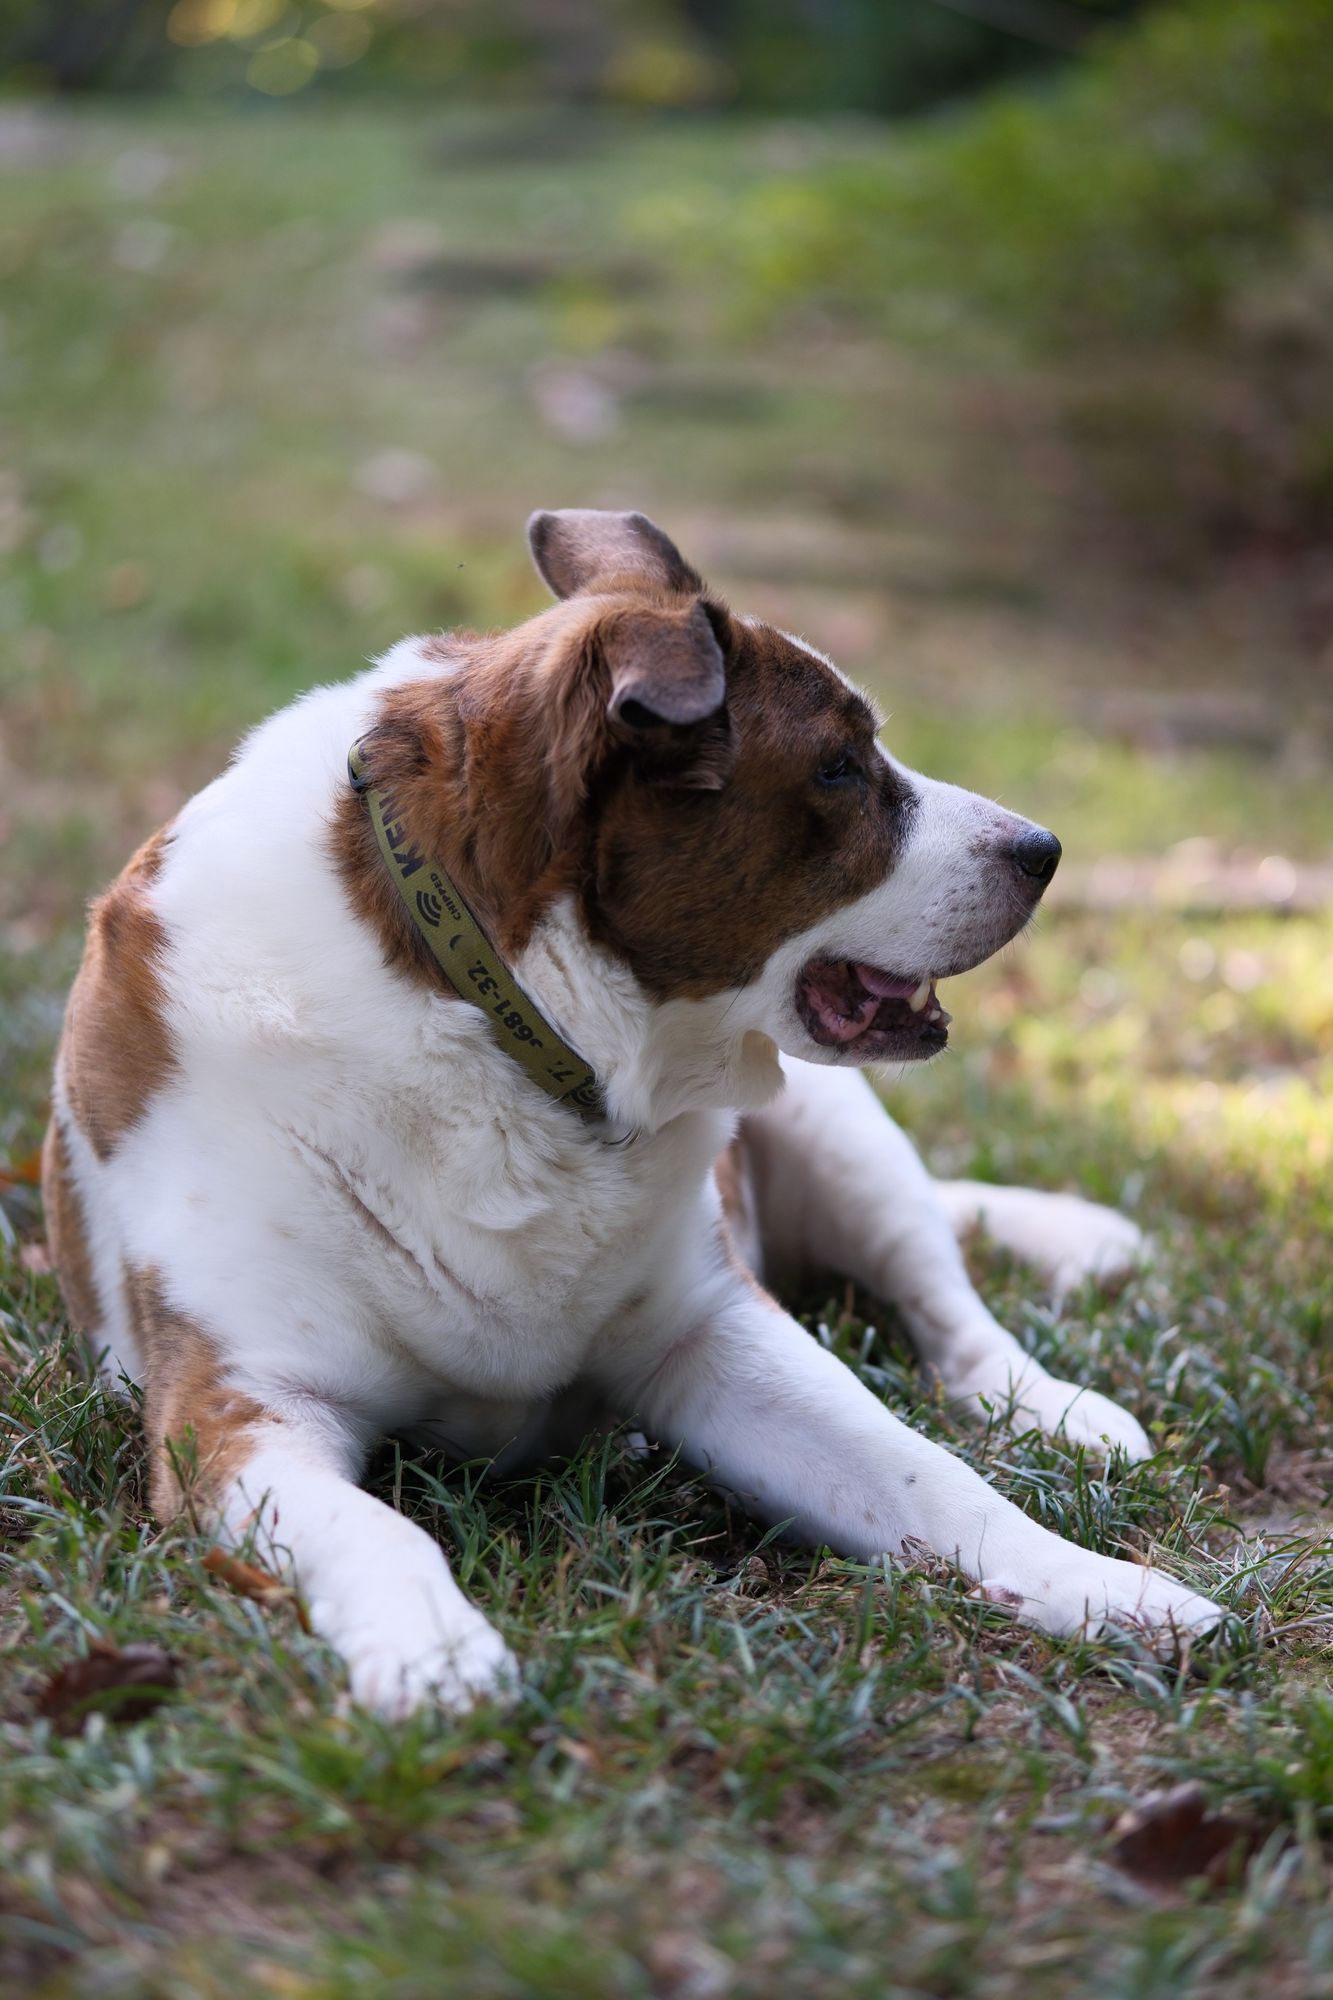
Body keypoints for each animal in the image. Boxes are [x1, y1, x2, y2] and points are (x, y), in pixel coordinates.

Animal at [41, 508, 1224, 1712]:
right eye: (839, 768)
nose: (1044, 851)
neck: (504, 1022)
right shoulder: (238, 1412)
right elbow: (375, 1529)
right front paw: (432, 1652)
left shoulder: (716, 1329)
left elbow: (925, 1473)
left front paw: (1105, 1586)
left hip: (843, 1132)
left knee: (948, 1310)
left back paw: (1052, 1405)